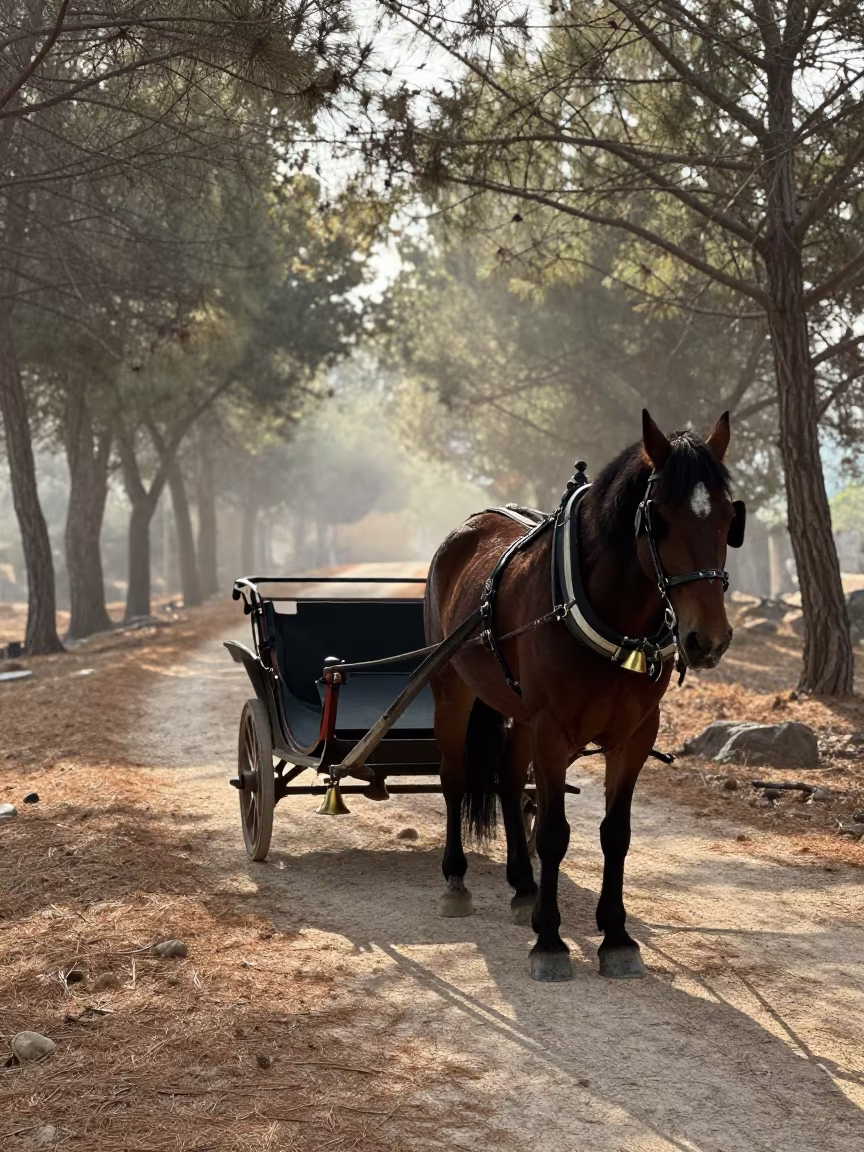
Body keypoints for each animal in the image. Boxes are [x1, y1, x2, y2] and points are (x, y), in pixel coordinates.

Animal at [423, 410, 746, 982]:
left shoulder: (634, 735)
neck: (614, 614)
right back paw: (456, 880)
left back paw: (524, 887)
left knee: (509, 780)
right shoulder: (553, 730)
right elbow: (554, 833)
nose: (708, 639)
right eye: (658, 519)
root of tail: (464, 531)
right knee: (456, 779)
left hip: (520, 714)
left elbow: (615, 833)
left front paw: (615, 935)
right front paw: (550, 942)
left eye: (730, 519)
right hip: (452, 691)